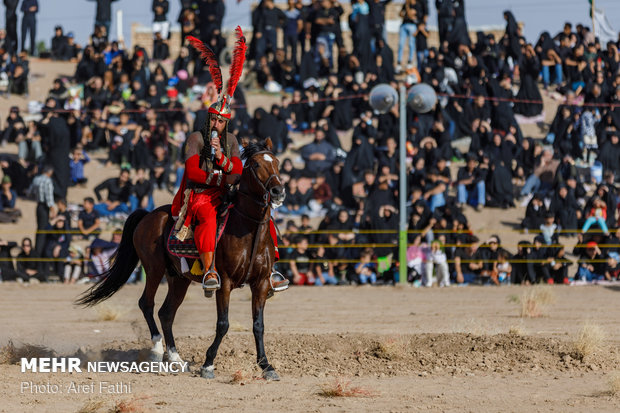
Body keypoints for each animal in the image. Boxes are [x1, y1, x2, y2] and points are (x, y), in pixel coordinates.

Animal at [77, 141, 286, 380]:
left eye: (277, 162)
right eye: (255, 164)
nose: (278, 191)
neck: (247, 229)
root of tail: (149, 215)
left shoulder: (260, 284)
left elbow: (258, 325)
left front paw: (267, 366)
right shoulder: (225, 283)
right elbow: (223, 324)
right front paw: (208, 364)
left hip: (178, 279)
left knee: (166, 313)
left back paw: (176, 358)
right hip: (154, 270)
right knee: (147, 304)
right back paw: (157, 350)